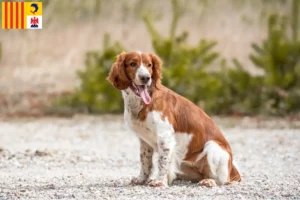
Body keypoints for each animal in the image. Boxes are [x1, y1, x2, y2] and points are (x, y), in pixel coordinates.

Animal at [106, 51, 240, 188]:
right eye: (133, 64)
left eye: (149, 65)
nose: (146, 78)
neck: (141, 102)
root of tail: (233, 169)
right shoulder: (144, 141)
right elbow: (145, 161)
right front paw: (141, 179)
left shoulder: (165, 137)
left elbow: (162, 162)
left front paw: (160, 181)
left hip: (212, 146)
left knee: (222, 180)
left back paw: (210, 181)